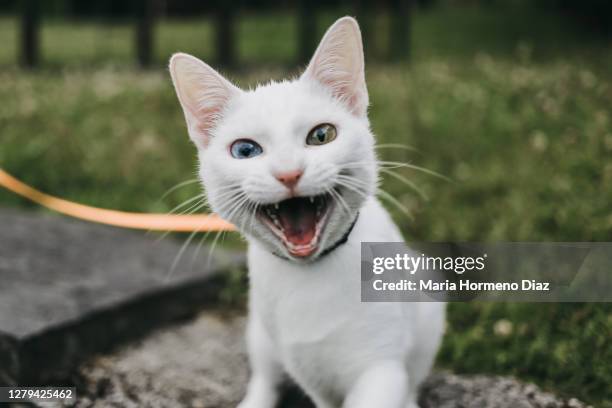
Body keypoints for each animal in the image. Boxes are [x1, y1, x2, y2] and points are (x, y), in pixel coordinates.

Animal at [169, 15, 444, 408]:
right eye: (245, 150)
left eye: (322, 135)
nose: (289, 173)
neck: (309, 275)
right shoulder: (305, 368)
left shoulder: (381, 368)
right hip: (260, 333)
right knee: (265, 376)